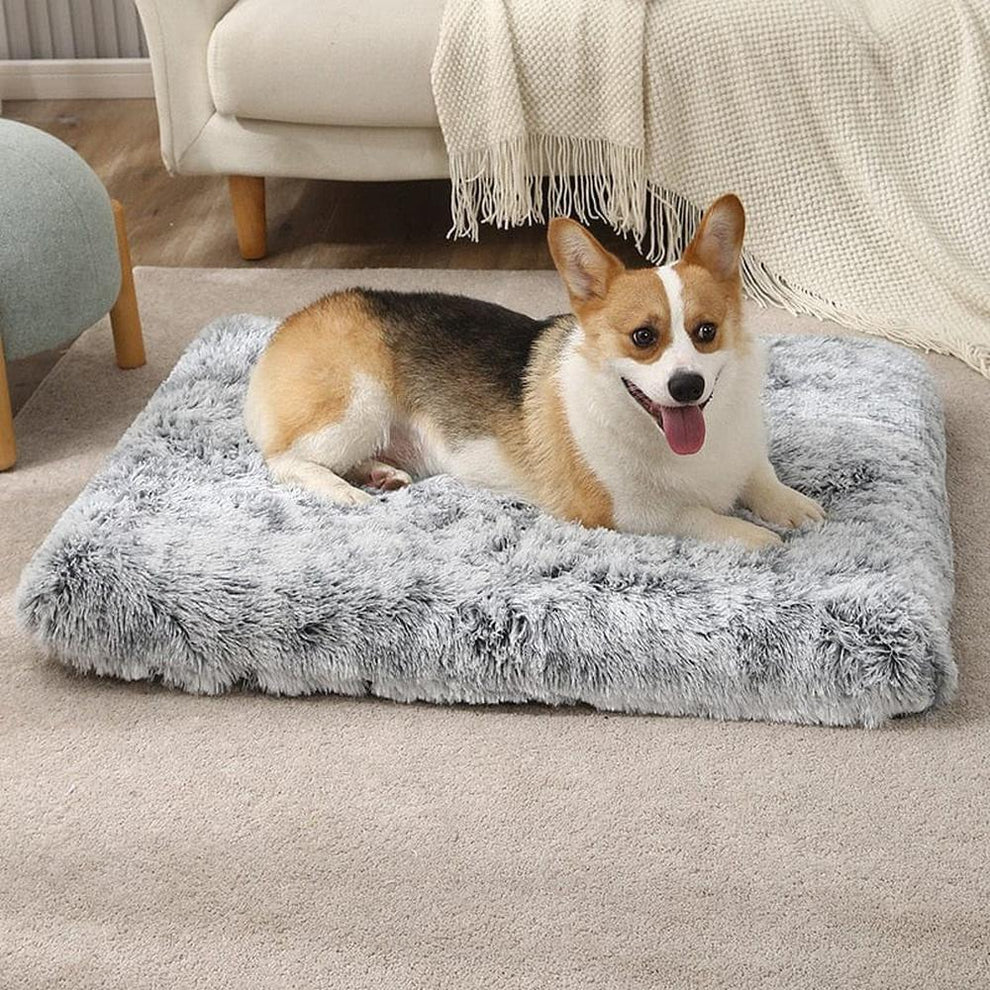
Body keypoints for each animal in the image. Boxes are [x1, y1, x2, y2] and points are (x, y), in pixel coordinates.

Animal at [244, 194, 824, 552]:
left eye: (706, 331)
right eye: (643, 337)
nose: (688, 386)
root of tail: (293, 322)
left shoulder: (742, 455)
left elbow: (761, 476)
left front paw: (794, 507)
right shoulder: (621, 511)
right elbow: (696, 516)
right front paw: (753, 536)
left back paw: (379, 473)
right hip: (357, 407)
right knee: (285, 460)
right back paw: (345, 490)